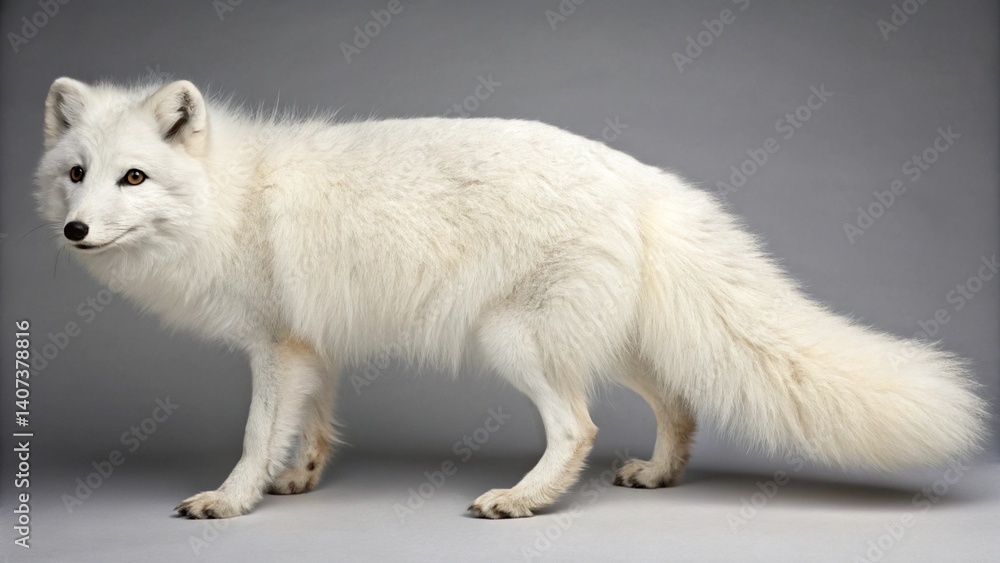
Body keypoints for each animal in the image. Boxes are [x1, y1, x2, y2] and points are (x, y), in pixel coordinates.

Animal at [34, 77, 987, 520]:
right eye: (77, 173)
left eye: (133, 176)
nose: (75, 230)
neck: (232, 195)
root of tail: (641, 177)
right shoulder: (314, 346)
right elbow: (313, 421)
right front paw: (298, 476)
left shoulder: (277, 346)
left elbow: (252, 434)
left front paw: (233, 499)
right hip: (613, 343)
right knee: (676, 405)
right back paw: (658, 473)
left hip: (515, 342)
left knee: (579, 427)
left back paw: (524, 500)